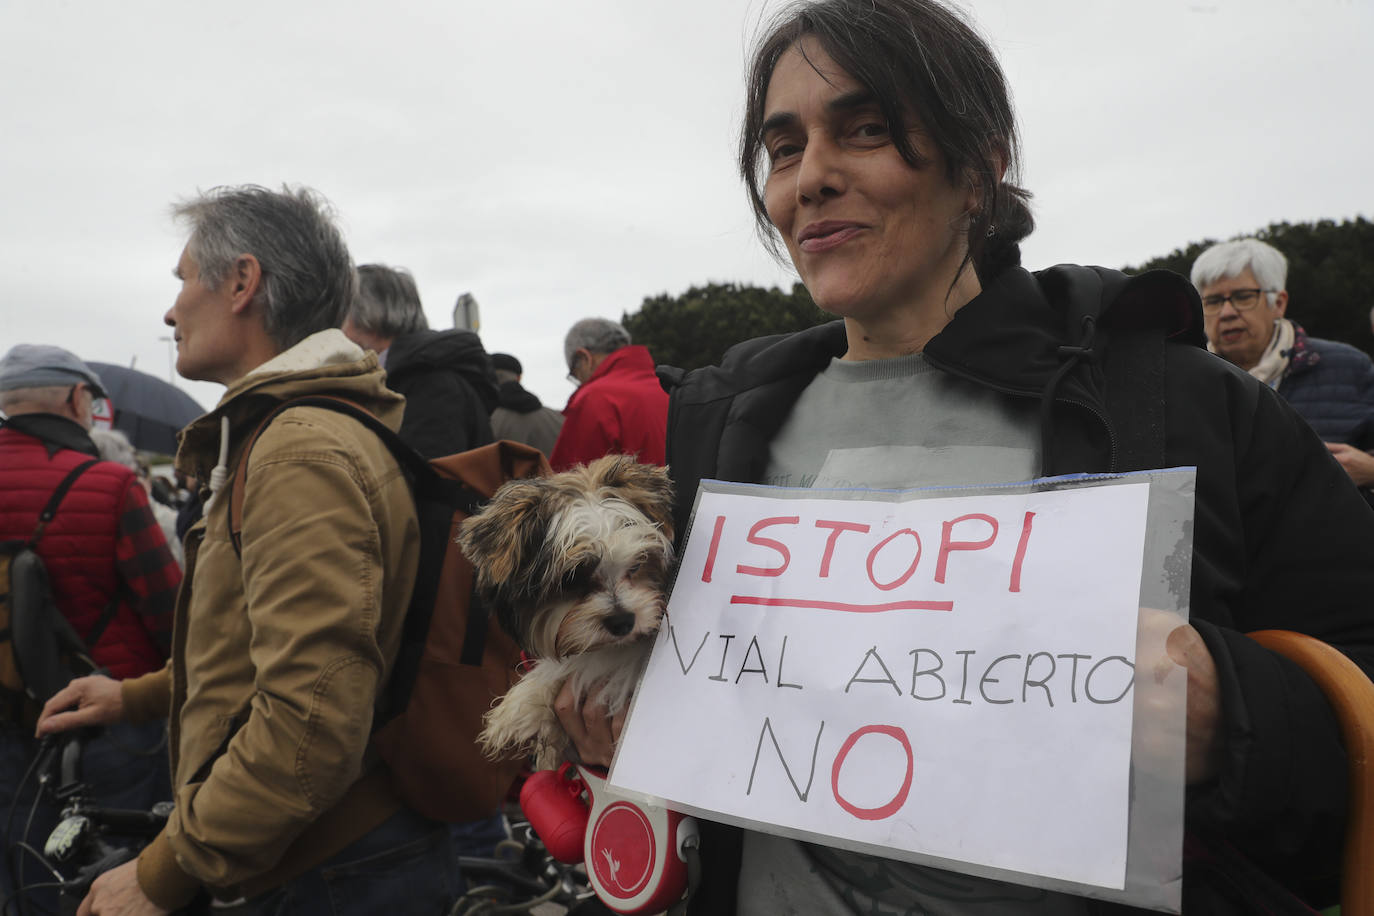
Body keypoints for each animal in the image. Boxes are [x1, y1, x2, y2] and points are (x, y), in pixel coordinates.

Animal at [461, 455, 676, 769]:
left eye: (637, 565)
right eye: (571, 578)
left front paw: (523, 705)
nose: (623, 622)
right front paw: (527, 704)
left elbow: (600, 663)